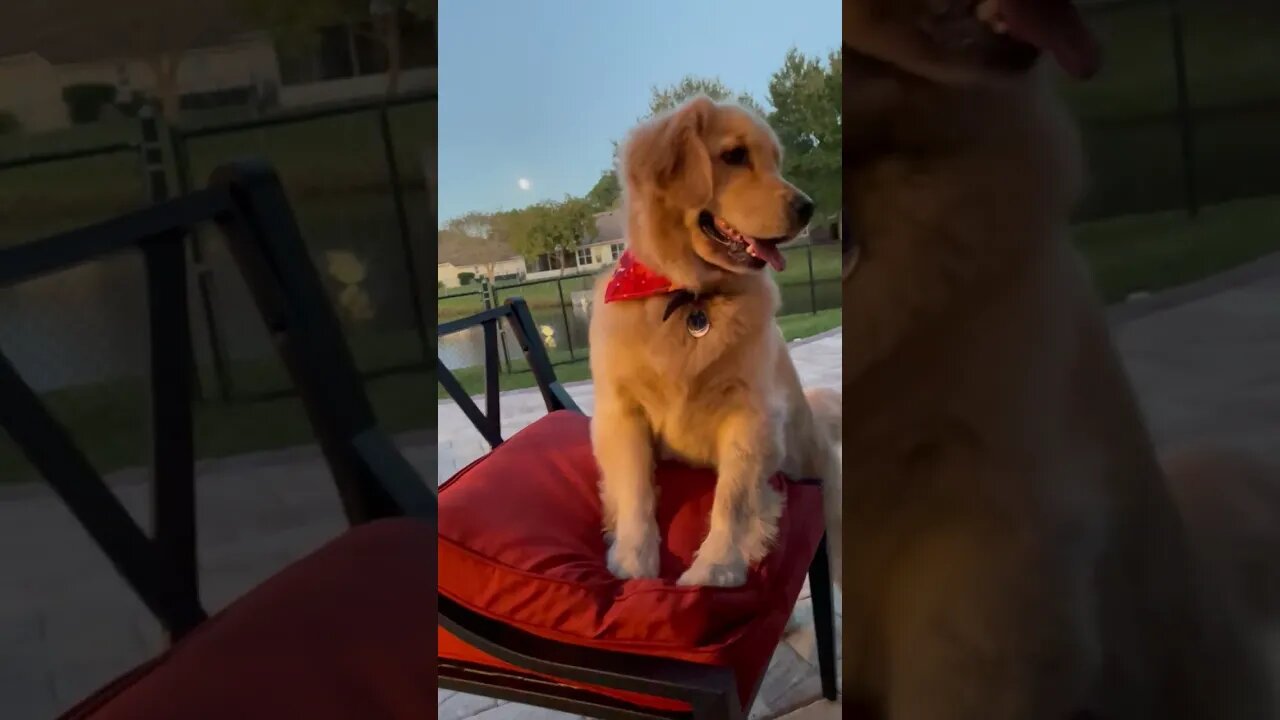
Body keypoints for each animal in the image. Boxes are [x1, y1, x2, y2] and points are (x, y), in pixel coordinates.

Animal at [586, 95, 844, 586]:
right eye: (735, 155)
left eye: (776, 161)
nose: (808, 207)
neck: (691, 297)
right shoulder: (622, 411)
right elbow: (634, 489)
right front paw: (633, 564)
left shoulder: (749, 417)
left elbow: (733, 500)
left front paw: (715, 570)